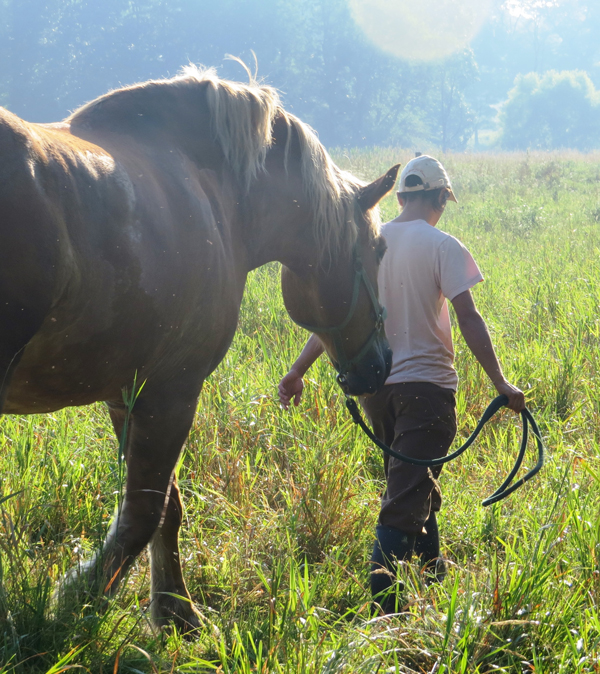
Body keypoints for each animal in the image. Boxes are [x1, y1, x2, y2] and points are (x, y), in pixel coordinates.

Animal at [0, 65, 398, 628]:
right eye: (380, 248)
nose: (382, 364)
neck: (211, 194)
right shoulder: (173, 392)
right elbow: (144, 514)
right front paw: (79, 601)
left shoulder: (128, 397)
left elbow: (165, 508)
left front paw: (173, 612)